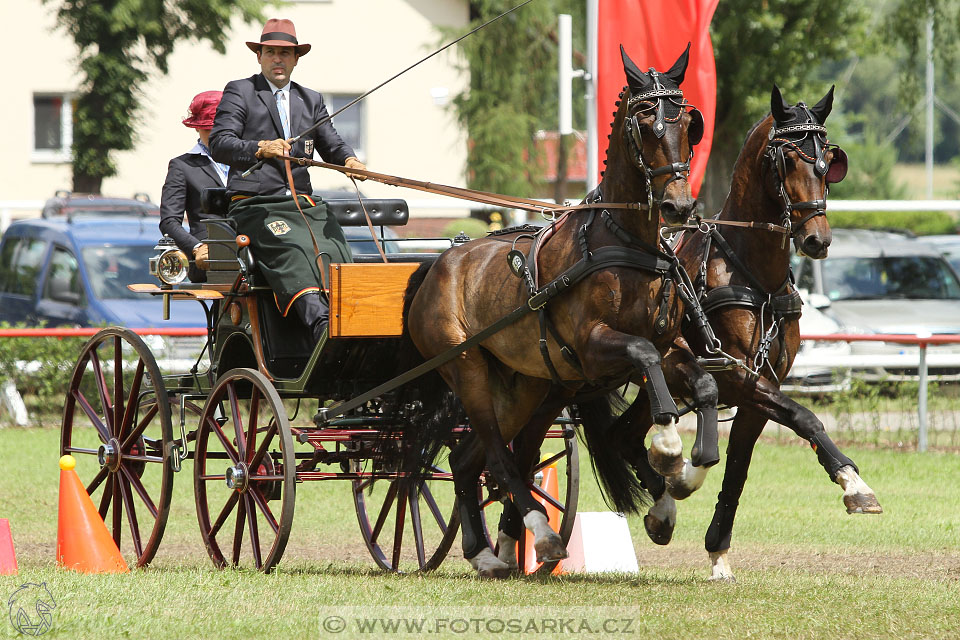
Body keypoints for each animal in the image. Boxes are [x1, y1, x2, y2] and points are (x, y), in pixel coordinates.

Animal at [402, 43, 716, 576]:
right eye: (646, 124)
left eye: (688, 125)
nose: (679, 207)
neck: (627, 242)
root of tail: (438, 263)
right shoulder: (593, 345)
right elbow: (645, 359)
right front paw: (670, 449)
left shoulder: (667, 343)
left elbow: (704, 381)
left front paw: (685, 477)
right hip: (468, 369)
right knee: (497, 457)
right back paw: (541, 534)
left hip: (527, 387)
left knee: (471, 460)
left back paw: (486, 552)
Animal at [612, 84, 880, 580]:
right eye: (787, 158)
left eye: (828, 162)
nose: (817, 240)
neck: (755, 275)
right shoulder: (733, 373)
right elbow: (803, 416)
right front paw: (852, 481)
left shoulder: (762, 385)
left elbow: (738, 466)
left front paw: (717, 551)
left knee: (625, 434)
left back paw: (663, 506)